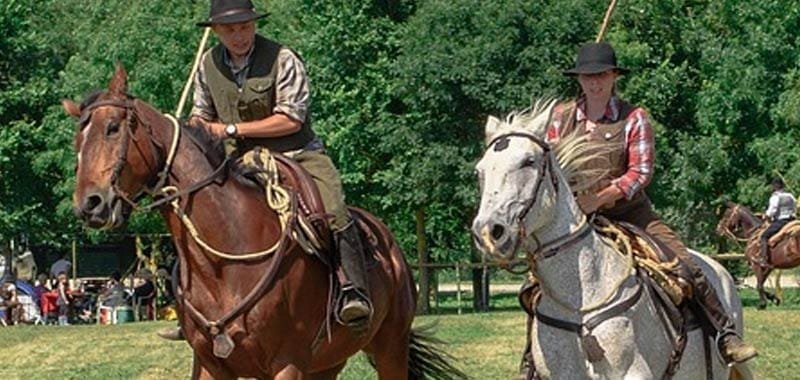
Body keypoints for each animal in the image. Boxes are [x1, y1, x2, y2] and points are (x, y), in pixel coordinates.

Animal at [64, 63, 462, 378]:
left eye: (113, 127)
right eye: (76, 141)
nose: (90, 204)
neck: (222, 262)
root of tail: (390, 247)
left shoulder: (288, 364)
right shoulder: (210, 365)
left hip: (391, 347)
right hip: (328, 364)